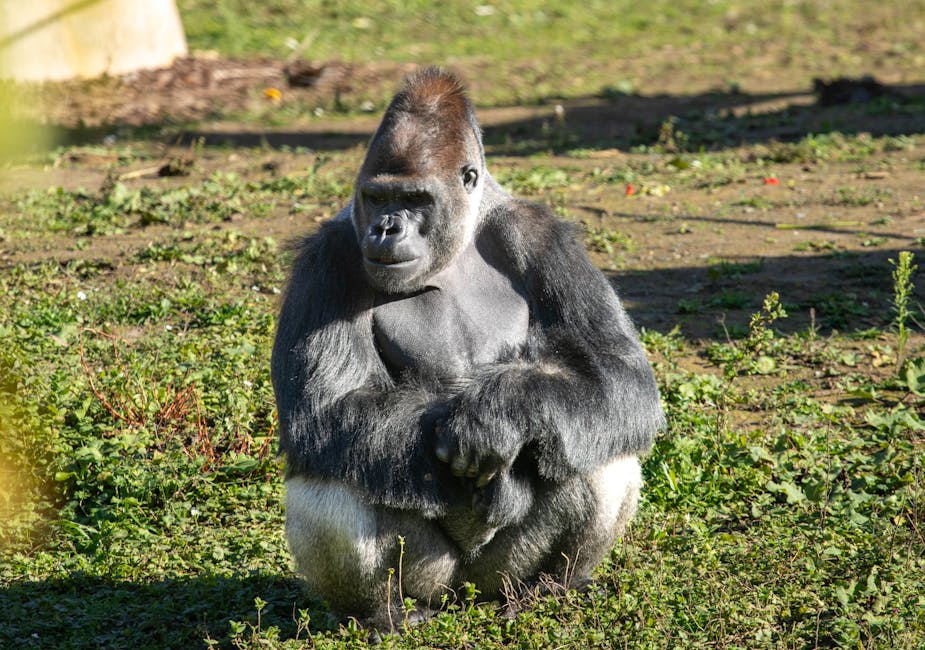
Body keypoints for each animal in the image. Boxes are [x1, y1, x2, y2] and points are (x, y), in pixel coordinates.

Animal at [271, 67, 664, 628]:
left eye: (415, 200)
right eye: (377, 197)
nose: (385, 228)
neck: (457, 242)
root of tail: (465, 596)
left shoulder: (542, 236)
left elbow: (618, 375)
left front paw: (498, 414)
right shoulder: (327, 257)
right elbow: (327, 408)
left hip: (499, 576)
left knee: (595, 443)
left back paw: (549, 590)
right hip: (433, 578)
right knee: (333, 473)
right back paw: (384, 613)